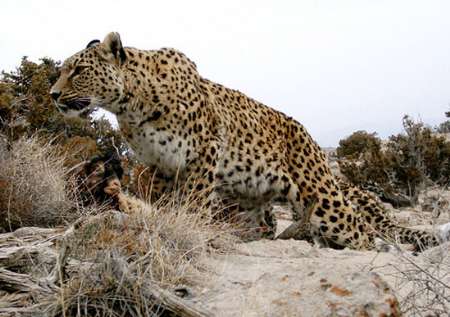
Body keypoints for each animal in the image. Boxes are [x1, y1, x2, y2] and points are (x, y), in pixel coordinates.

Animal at [51, 31, 442, 249]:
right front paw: (161, 222)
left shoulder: (204, 151)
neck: (132, 104)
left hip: (323, 197)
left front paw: (188, 227)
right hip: (252, 201)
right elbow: (159, 201)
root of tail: (310, 137)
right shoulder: (157, 164)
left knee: (362, 231)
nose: (53, 94)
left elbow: (194, 200)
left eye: (79, 70)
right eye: (62, 70)